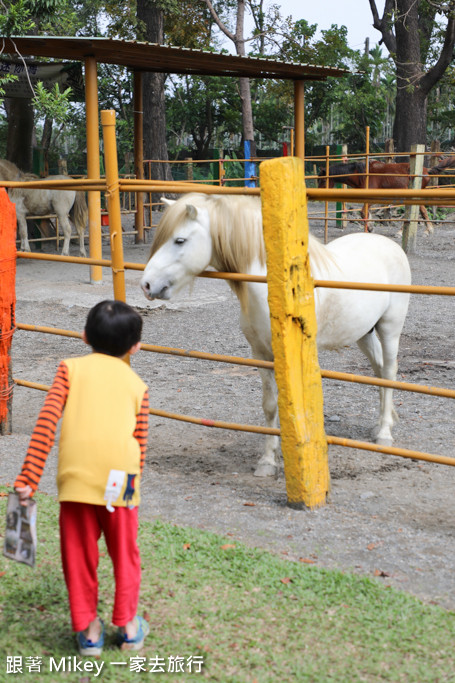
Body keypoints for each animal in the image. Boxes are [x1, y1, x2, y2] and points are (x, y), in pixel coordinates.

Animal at [141, 195, 412, 478]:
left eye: (179, 240)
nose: (147, 285)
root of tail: (389, 245)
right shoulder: (261, 354)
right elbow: (271, 405)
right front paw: (268, 461)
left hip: (390, 328)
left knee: (389, 371)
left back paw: (384, 434)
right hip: (364, 334)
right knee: (379, 372)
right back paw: (381, 424)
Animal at [318, 158, 455, 235]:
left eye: (323, 180)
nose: (317, 193)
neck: (363, 174)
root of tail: (426, 171)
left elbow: (363, 212)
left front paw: (371, 228)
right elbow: (365, 213)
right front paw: (370, 226)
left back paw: (402, 232)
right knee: (422, 210)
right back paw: (428, 230)